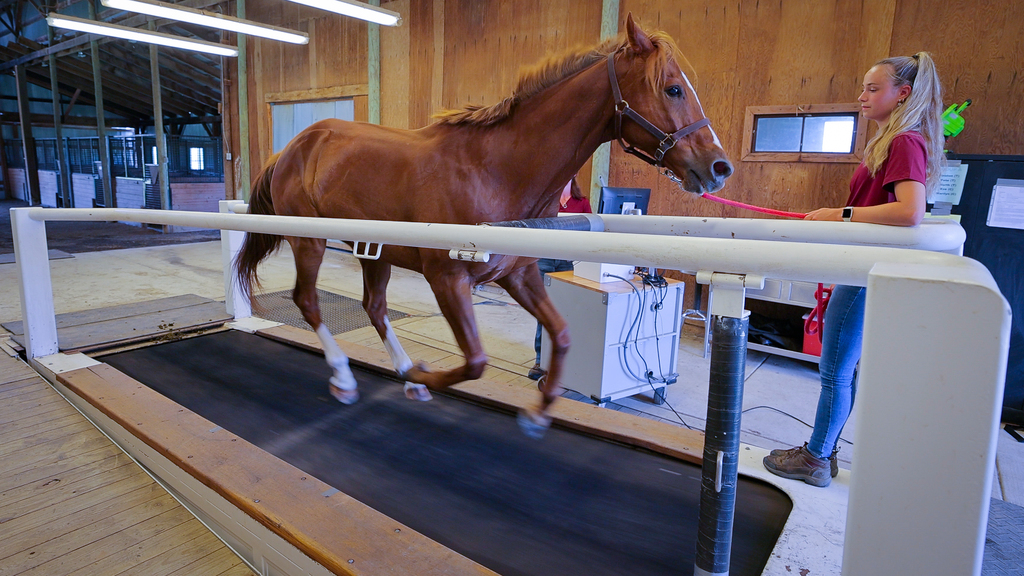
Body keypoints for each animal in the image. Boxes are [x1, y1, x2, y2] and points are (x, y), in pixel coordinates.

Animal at [235, 14, 733, 438]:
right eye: (672, 89)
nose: (719, 167)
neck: (497, 170)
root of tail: (294, 146)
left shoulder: (519, 274)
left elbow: (562, 335)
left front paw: (537, 411)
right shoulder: (448, 278)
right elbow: (475, 360)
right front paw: (425, 374)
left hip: (374, 250)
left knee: (374, 307)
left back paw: (403, 374)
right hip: (309, 242)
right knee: (308, 301)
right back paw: (345, 376)